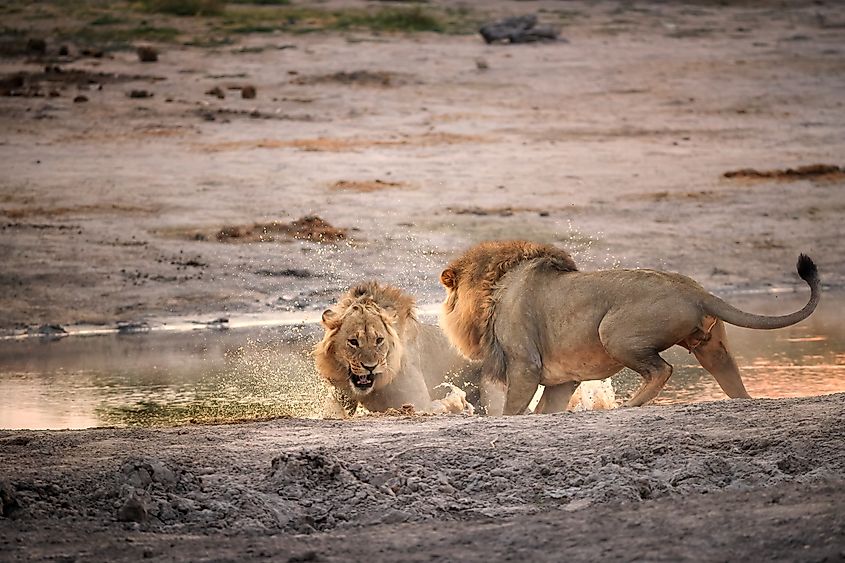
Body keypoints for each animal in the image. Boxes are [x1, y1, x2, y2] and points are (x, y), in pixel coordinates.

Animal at [314, 281, 481, 418]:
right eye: (353, 342)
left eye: (379, 340)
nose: (370, 367)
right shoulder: (340, 394)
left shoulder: (417, 404)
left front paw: (458, 400)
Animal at [439, 240, 821, 415]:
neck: (493, 286)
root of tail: (696, 291)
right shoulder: (562, 380)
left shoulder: (525, 365)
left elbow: (513, 410)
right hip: (713, 347)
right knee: (732, 383)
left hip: (613, 333)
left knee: (661, 370)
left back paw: (628, 406)